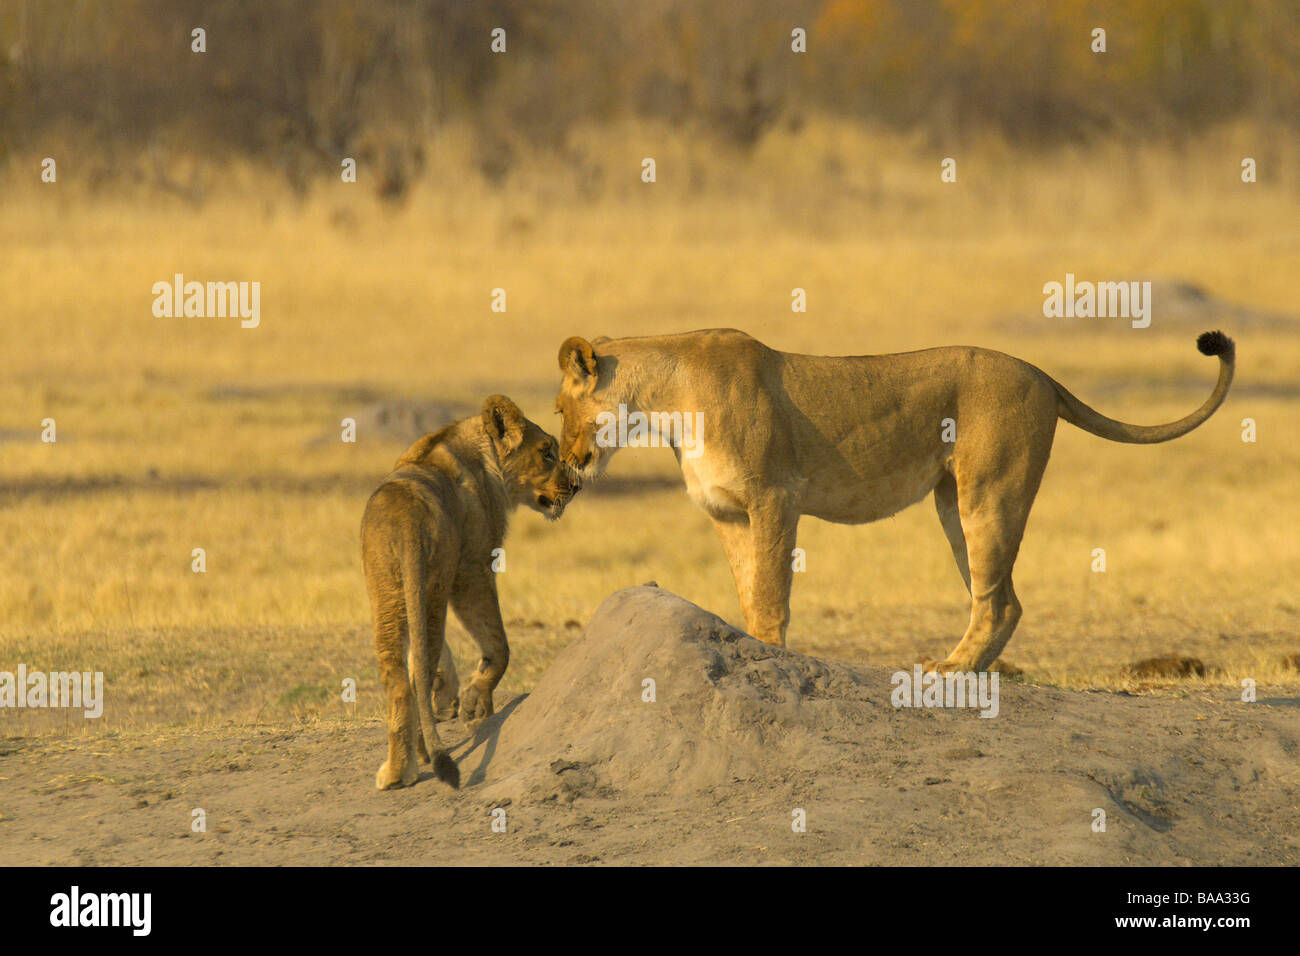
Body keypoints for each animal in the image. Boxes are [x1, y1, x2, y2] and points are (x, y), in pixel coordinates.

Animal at [361, 395, 579, 790]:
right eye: (547, 453)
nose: (576, 486)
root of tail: (405, 515)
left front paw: (448, 693)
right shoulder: (472, 569)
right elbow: (498, 645)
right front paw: (476, 703)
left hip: (388, 592)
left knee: (401, 677)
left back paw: (397, 772)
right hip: (433, 585)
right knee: (417, 672)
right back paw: (422, 754)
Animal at [554, 328, 1234, 673]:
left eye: (559, 410)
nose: (565, 463)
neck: (665, 402)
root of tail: (1042, 374)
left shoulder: (776, 498)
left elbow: (771, 593)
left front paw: (772, 657)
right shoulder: (727, 512)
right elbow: (748, 590)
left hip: (989, 493)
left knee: (998, 602)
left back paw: (949, 672)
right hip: (953, 504)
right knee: (1005, 599)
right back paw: (968, 671)